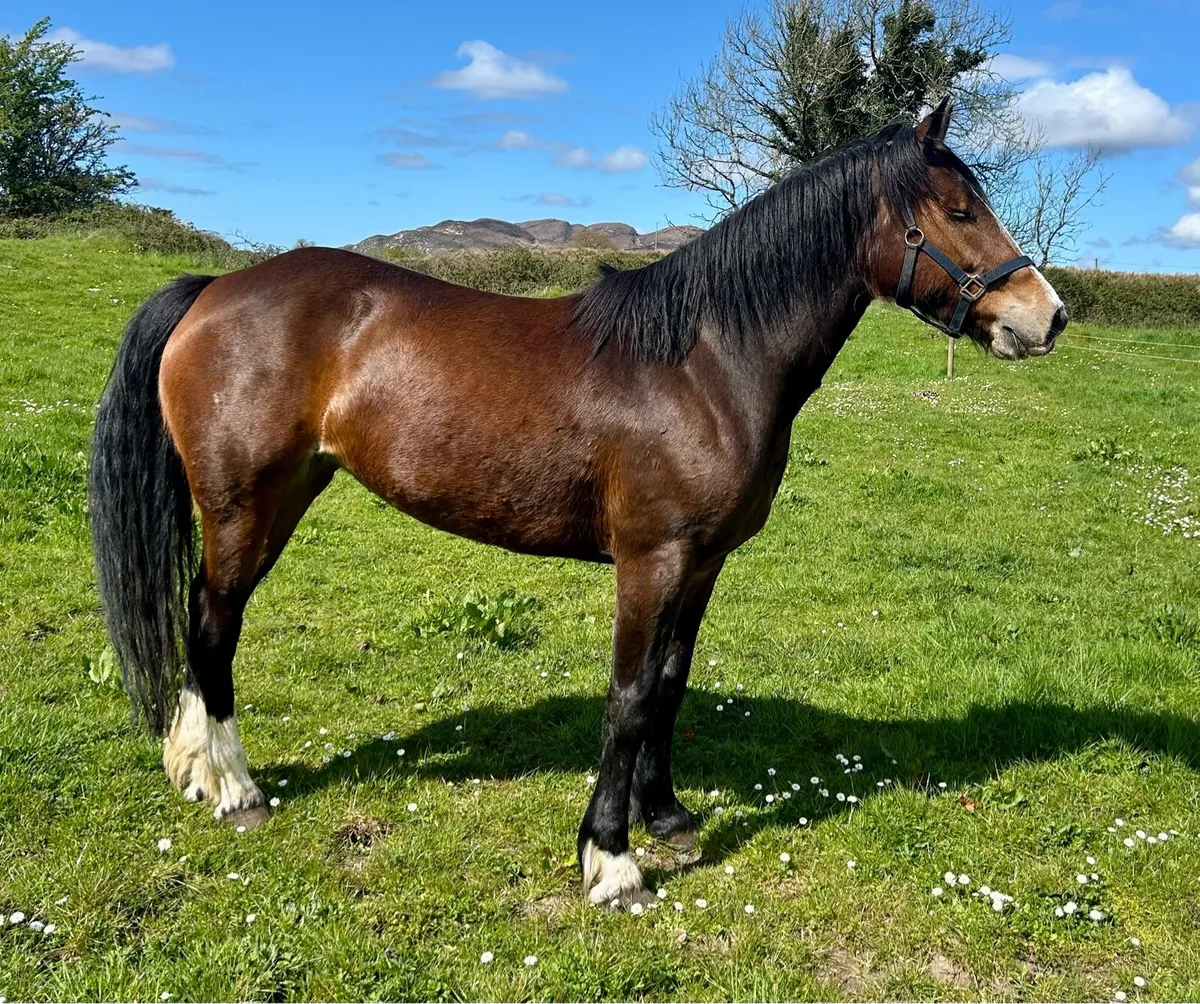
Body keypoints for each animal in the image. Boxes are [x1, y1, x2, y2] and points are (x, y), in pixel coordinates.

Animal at [88, 99, 1066, 906]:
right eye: (958, 210)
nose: (1048, 315)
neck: (703, 362)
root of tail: (215, 292)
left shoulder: (702, 563)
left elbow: (669, 685)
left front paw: (666, 817)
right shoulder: (650, 560)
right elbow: (628, 697)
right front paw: (612, 859)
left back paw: (192, 769)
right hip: (245, 507)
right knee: (213, 627)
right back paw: (236, 789)